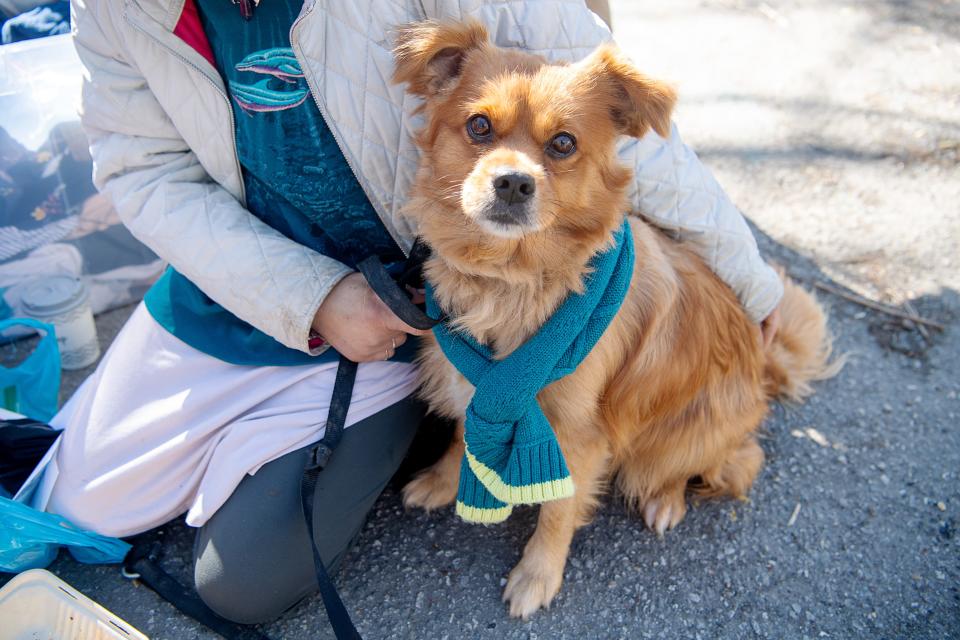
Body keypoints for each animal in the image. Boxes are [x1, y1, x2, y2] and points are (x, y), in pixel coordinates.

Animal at [390, 21, 840, 620]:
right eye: (478, 126)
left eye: (563, 144)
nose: (513, 182)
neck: (511, 281)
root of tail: (762, 362)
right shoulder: (478, 384)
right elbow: (464, 431)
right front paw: (442, 481)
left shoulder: (579, 437)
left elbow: (559, 510)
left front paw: (538, 575)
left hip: (683, 439)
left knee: (733, 462)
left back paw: (666, 500)